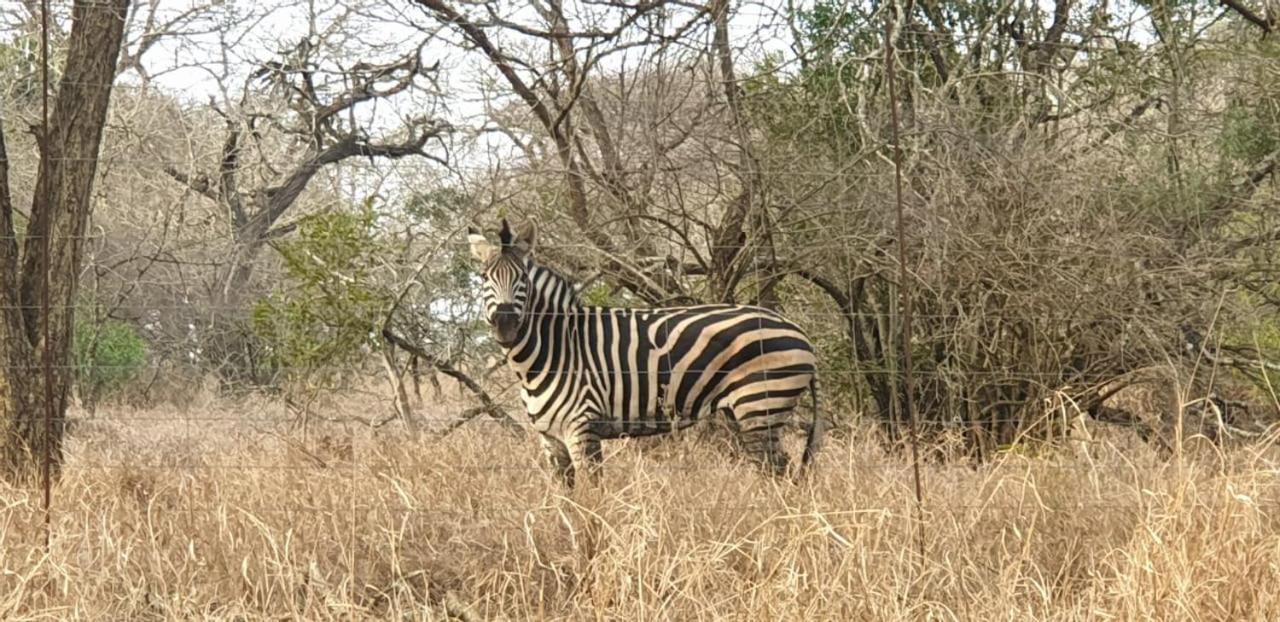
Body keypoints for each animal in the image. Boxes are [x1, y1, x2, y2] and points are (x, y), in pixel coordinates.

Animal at [468, 218, 819, 486]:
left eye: (522, 280)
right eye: (484, 277)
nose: (505, 326)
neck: (552, 351)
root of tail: (799, 332)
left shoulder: (582, 428)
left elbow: (592, 497)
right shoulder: (550, 439)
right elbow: (565, 502)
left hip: (760, 404)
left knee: (778, 472)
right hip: (750, 411)